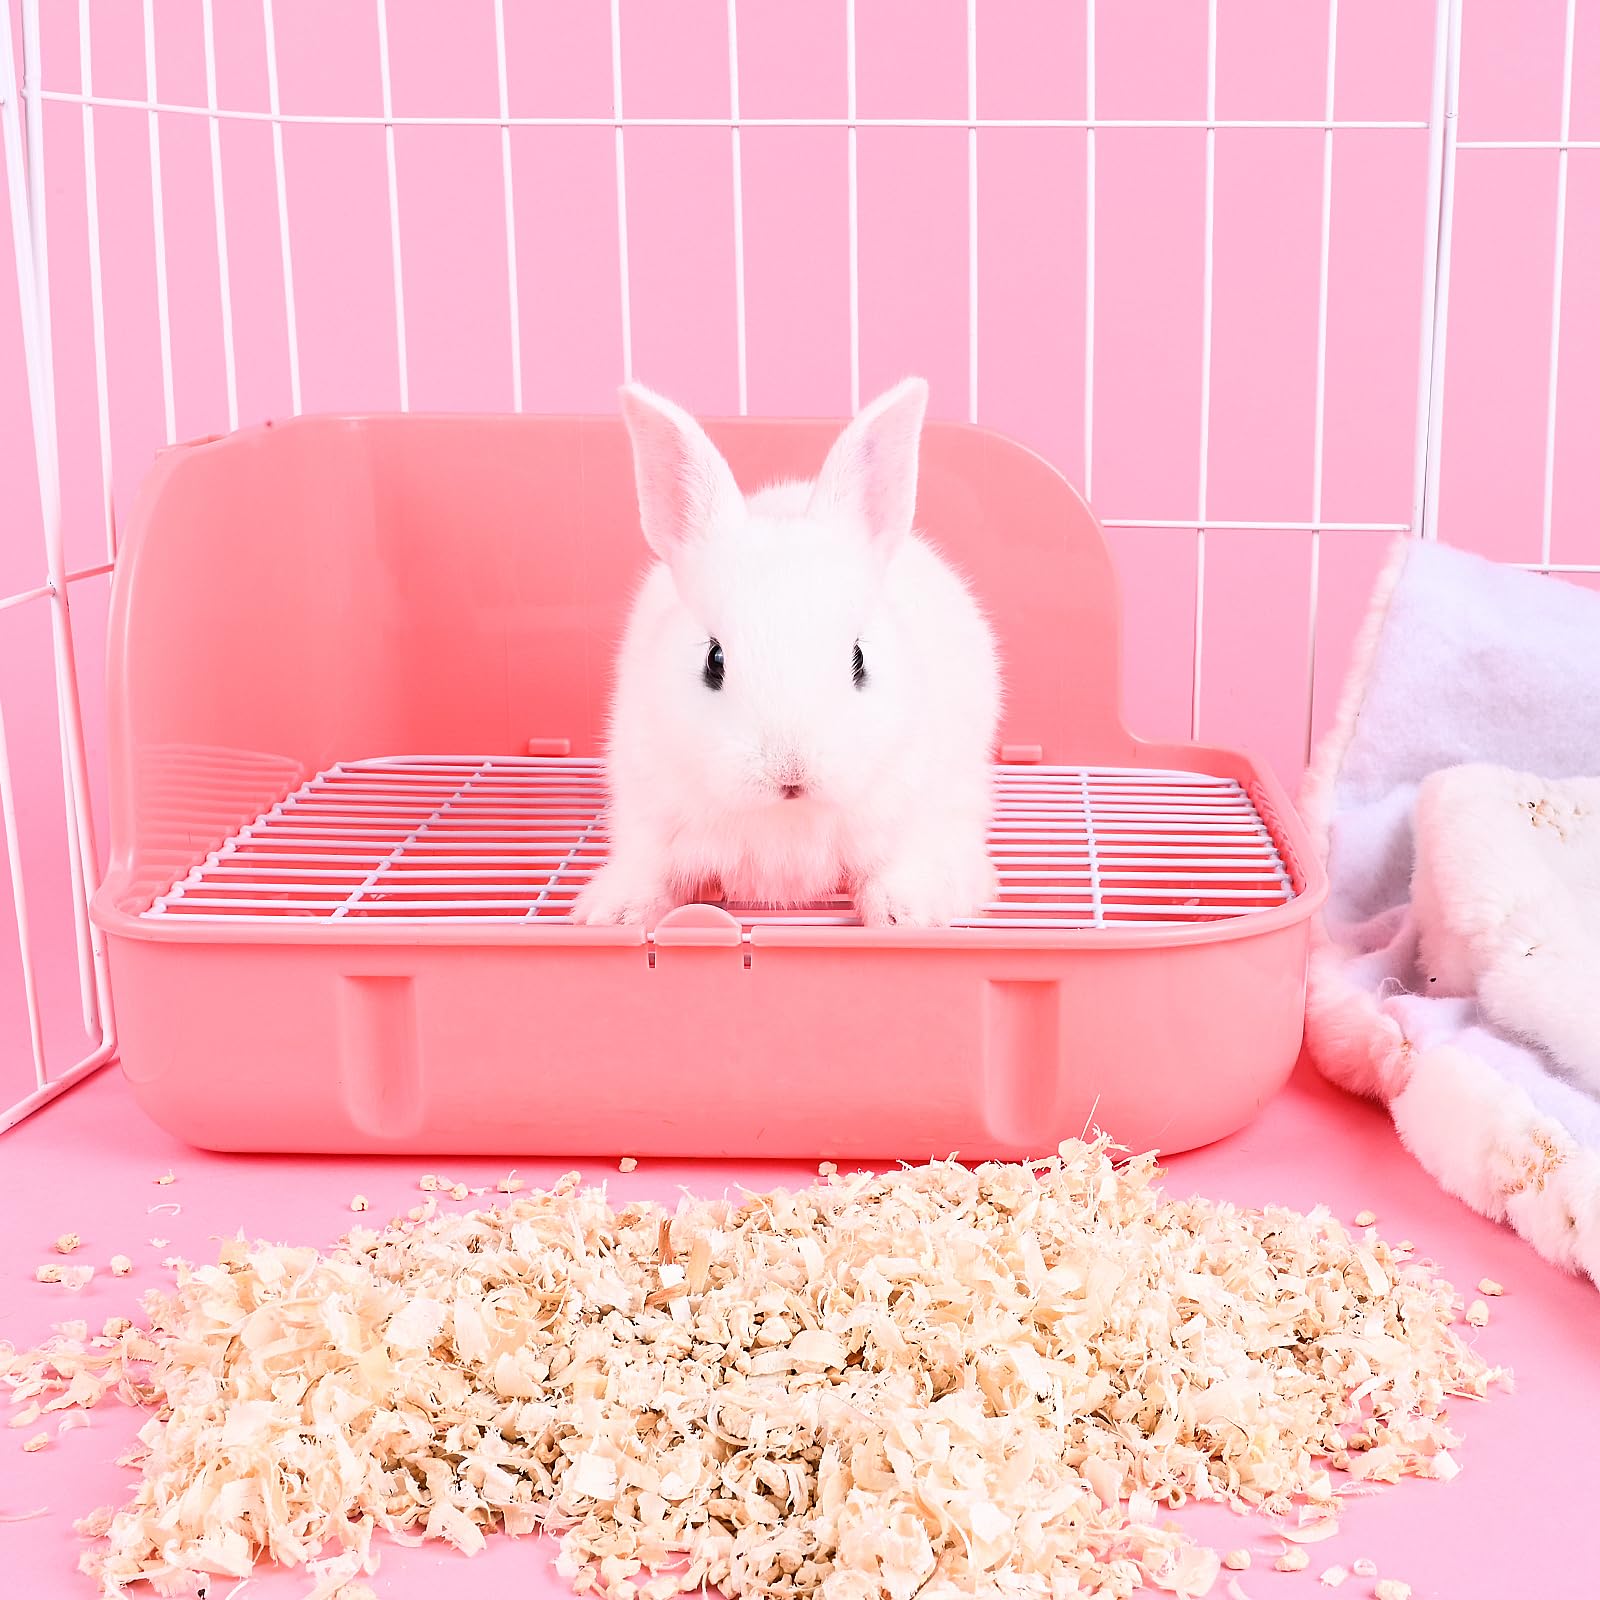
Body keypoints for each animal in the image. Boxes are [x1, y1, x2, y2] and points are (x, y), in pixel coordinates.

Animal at [571, 376, 1002, 929]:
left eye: (860, 659)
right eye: (713, 660)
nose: (790, 772)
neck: (786, 817)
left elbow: (907, 868)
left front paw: (904, 913)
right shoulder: (649, 812)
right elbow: (650, 871)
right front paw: (610, 914)